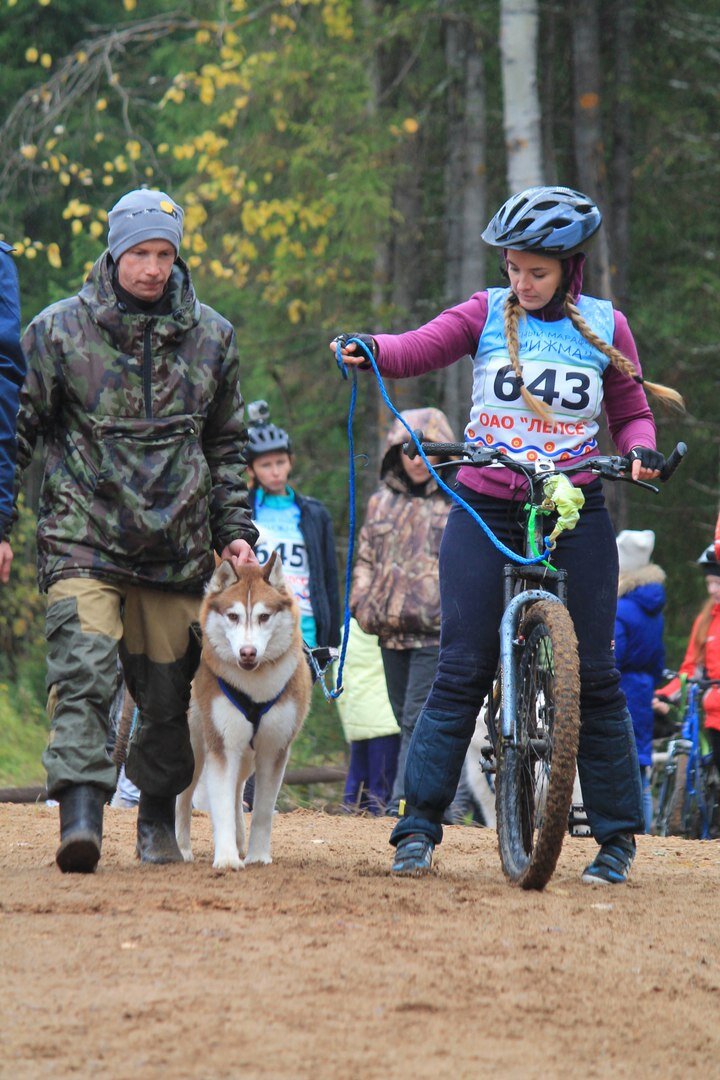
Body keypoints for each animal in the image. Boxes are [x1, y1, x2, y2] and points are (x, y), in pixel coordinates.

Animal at [177, 552, 313, 872]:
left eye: (264, 616)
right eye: (233, 616)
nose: (247, 652)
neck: (255, 689)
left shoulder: (274, 749)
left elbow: (261, 811)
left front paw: (257, 855)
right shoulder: (223, 745)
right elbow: (222, 807)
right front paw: (226, 858)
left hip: (247, 756)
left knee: (238, 788)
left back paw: (241, 841)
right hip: (195, 749)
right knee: (182, 797)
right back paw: (181, 847)